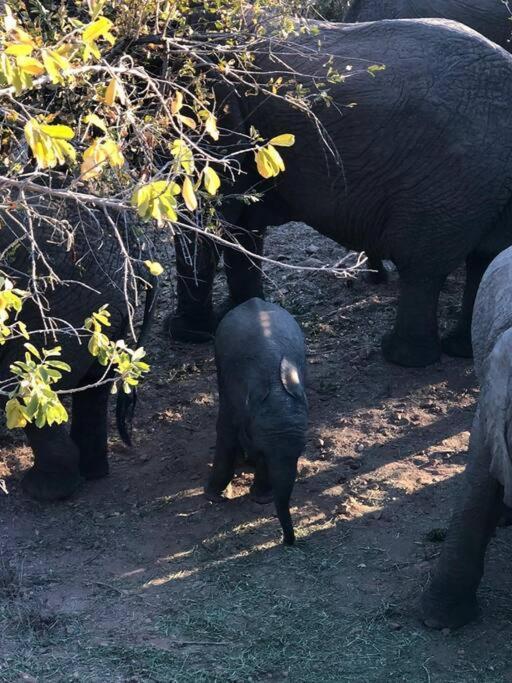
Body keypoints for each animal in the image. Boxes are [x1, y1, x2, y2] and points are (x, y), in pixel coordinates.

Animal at [1, 194, 154, 502]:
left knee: (26, 385)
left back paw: (44, 491)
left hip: (60, 307)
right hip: (98, 314)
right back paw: (91, 473)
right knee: (95, 387)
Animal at [170, 14, 512, 368]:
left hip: (447, 179)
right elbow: (241, 224)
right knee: (484, 259)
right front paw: (235, 314)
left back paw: (401, 357)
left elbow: (205, 218)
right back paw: (457, 349)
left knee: (422, 266)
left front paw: (187, 333)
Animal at [205, 300, 308, 544]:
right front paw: (214, 497)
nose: (287, 541)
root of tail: (253, 300)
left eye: (300, 453)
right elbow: (226, 430)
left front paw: (261, 498)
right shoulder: (233, 394)